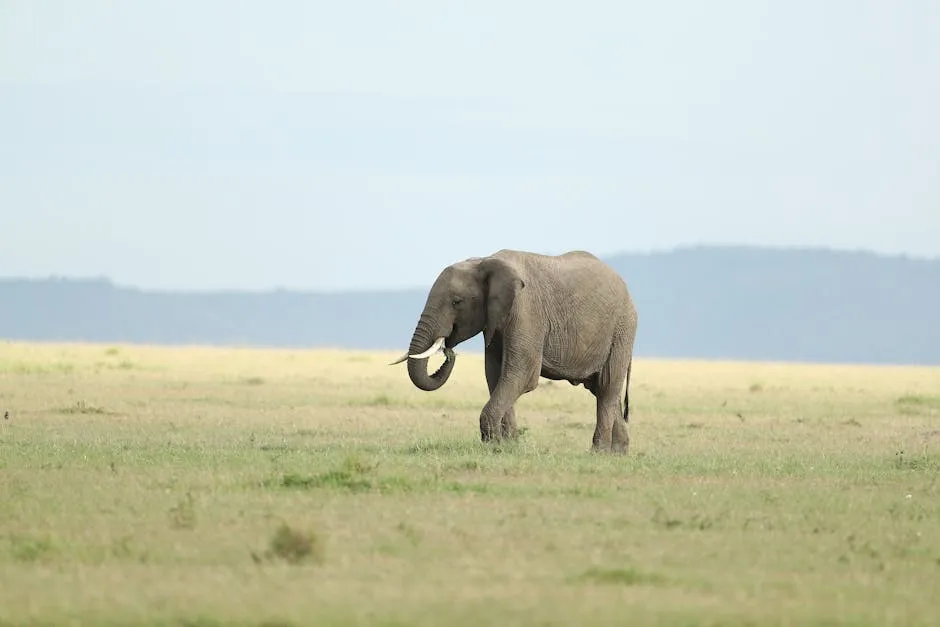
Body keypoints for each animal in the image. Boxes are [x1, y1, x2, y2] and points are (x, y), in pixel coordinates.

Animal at [390, 249, 638, 454]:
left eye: (457, 301)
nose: (448, 350)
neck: (485, 261)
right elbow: (496, 376)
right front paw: (508, 447)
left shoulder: (526, 312)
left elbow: (521, 375)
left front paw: (494, 446)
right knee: (602, 390)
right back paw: (618, 454)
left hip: (622, 329)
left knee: (607, 386)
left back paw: (599, 453)